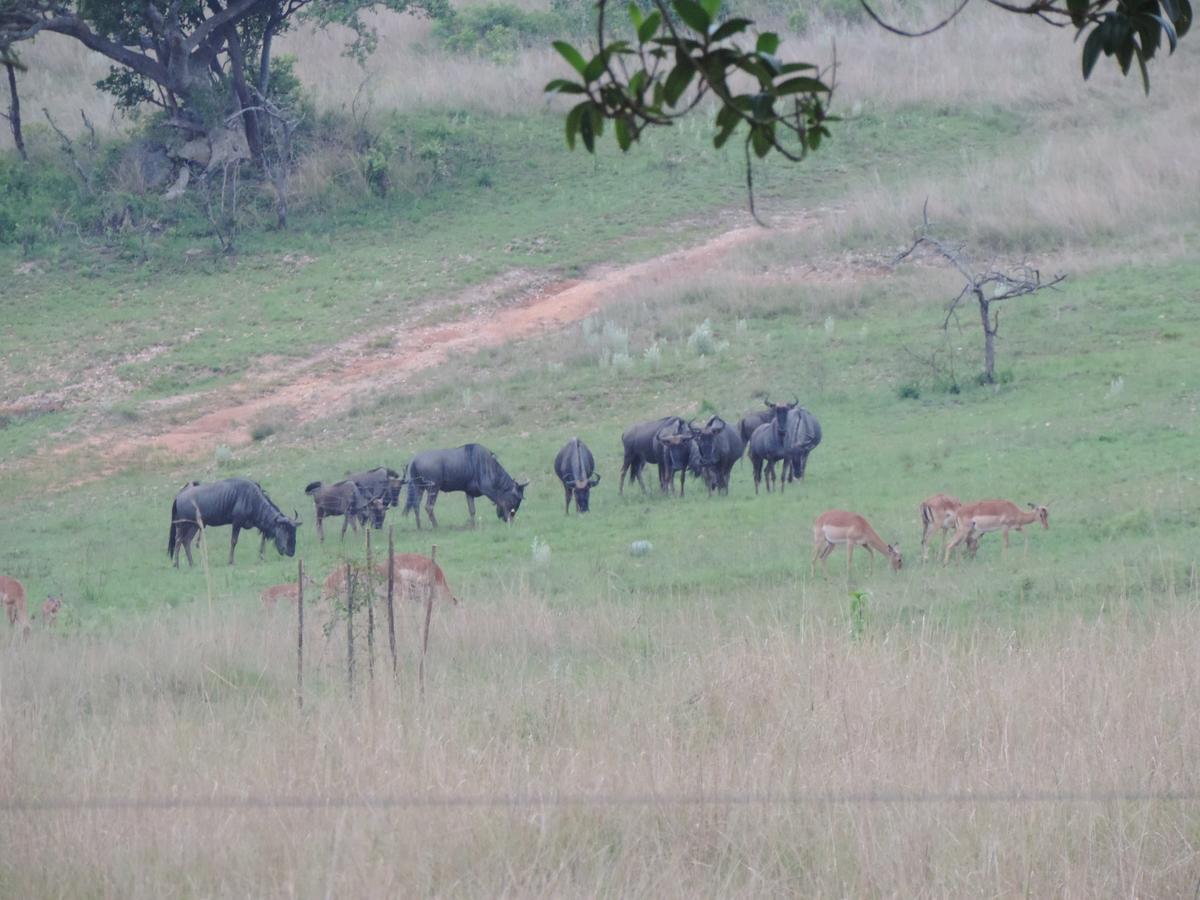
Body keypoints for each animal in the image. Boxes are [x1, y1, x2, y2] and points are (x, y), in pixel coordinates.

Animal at [169, 482, 300, 566]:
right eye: (286, 530)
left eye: (294, 532)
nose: (291, 552)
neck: (252, 498)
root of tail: (178, 496)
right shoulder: (237, 522)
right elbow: (233, 541)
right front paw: (231, 562)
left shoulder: (258, 524)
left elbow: (263, 538)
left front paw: (262, 556)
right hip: (183, 525)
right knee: (178, 540)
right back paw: (176, 564)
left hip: (193, 526)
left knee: (186, 541)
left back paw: (192, 564)